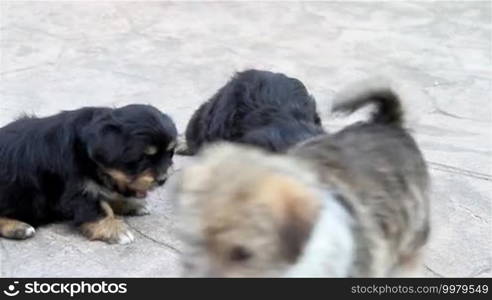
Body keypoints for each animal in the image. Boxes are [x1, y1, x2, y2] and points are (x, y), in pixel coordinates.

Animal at [0, 105, 177, 244]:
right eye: (142, 158)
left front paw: (130, 204)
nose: (163, 179)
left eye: (170, 153)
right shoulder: (78, 190)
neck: (85, 149)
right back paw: (19, 227)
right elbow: (98, 209)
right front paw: (115, 229)